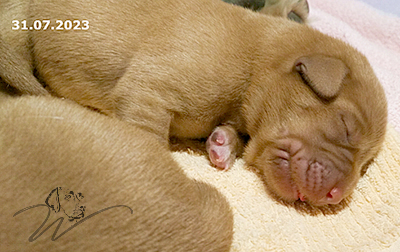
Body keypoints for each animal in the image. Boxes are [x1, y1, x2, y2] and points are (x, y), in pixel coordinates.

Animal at [0, 0, 388, 205]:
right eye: (345, 126)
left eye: (367, 164)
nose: (336, 196)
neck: (257, 57)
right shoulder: (148, 90)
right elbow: (151, 143)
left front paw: (223, 144)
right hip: (17, 37)